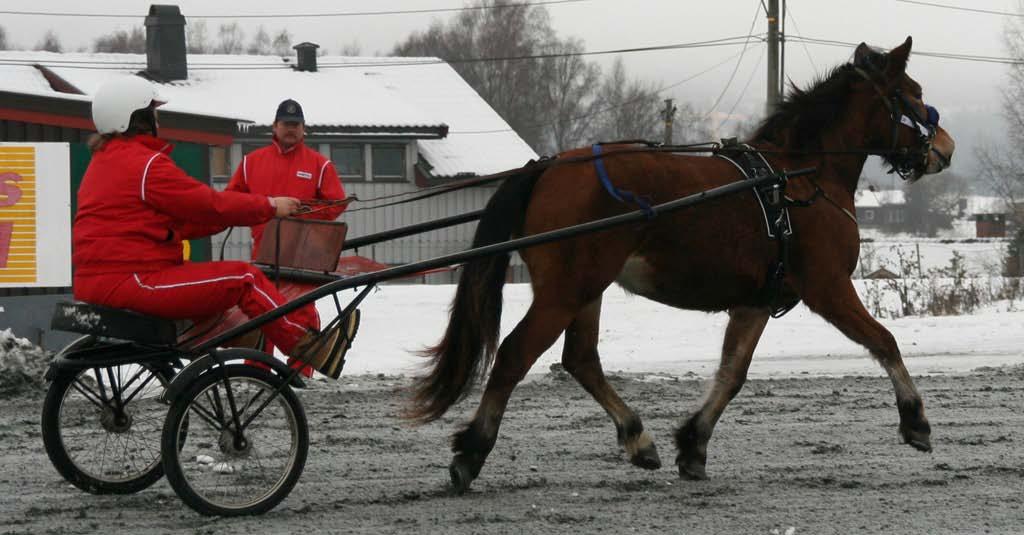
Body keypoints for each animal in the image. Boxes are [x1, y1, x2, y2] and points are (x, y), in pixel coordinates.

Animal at [411, 37, 954, 491]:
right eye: (912, 93)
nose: (945, 149)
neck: (799, 178)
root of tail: (548, 167)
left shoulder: (756, 303)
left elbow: (732, 374)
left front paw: (693, 445)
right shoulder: (828, 286)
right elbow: (883, 341)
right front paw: (915, 420)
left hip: (586, 289)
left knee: (581, 359)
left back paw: (637, 438)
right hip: (568, 289)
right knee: (514, 355)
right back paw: (472, 451)